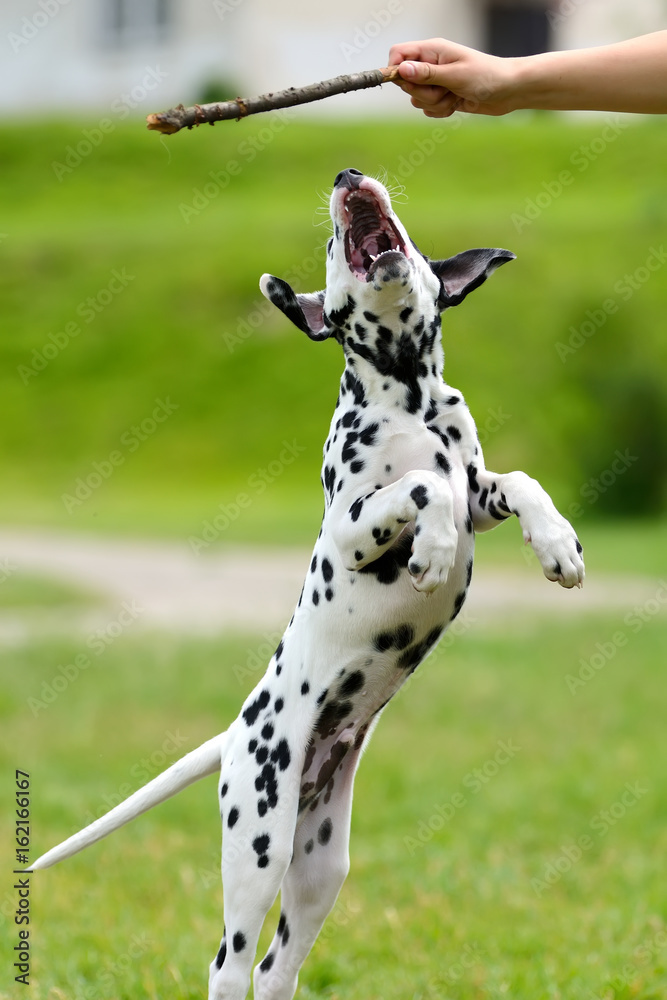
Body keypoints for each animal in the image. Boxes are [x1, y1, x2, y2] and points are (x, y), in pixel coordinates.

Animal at [31, 170, 584, 1000]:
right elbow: (422, 486)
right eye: (328, 241)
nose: (347, 175)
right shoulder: (351, 529)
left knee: (274, 969)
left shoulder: (479, 491)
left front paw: (556, 545)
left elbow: (511, 480)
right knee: (229, 964)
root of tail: (235, 736)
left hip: (320, 865)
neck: (408, 399)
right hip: (258, 844)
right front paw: (430, 549)